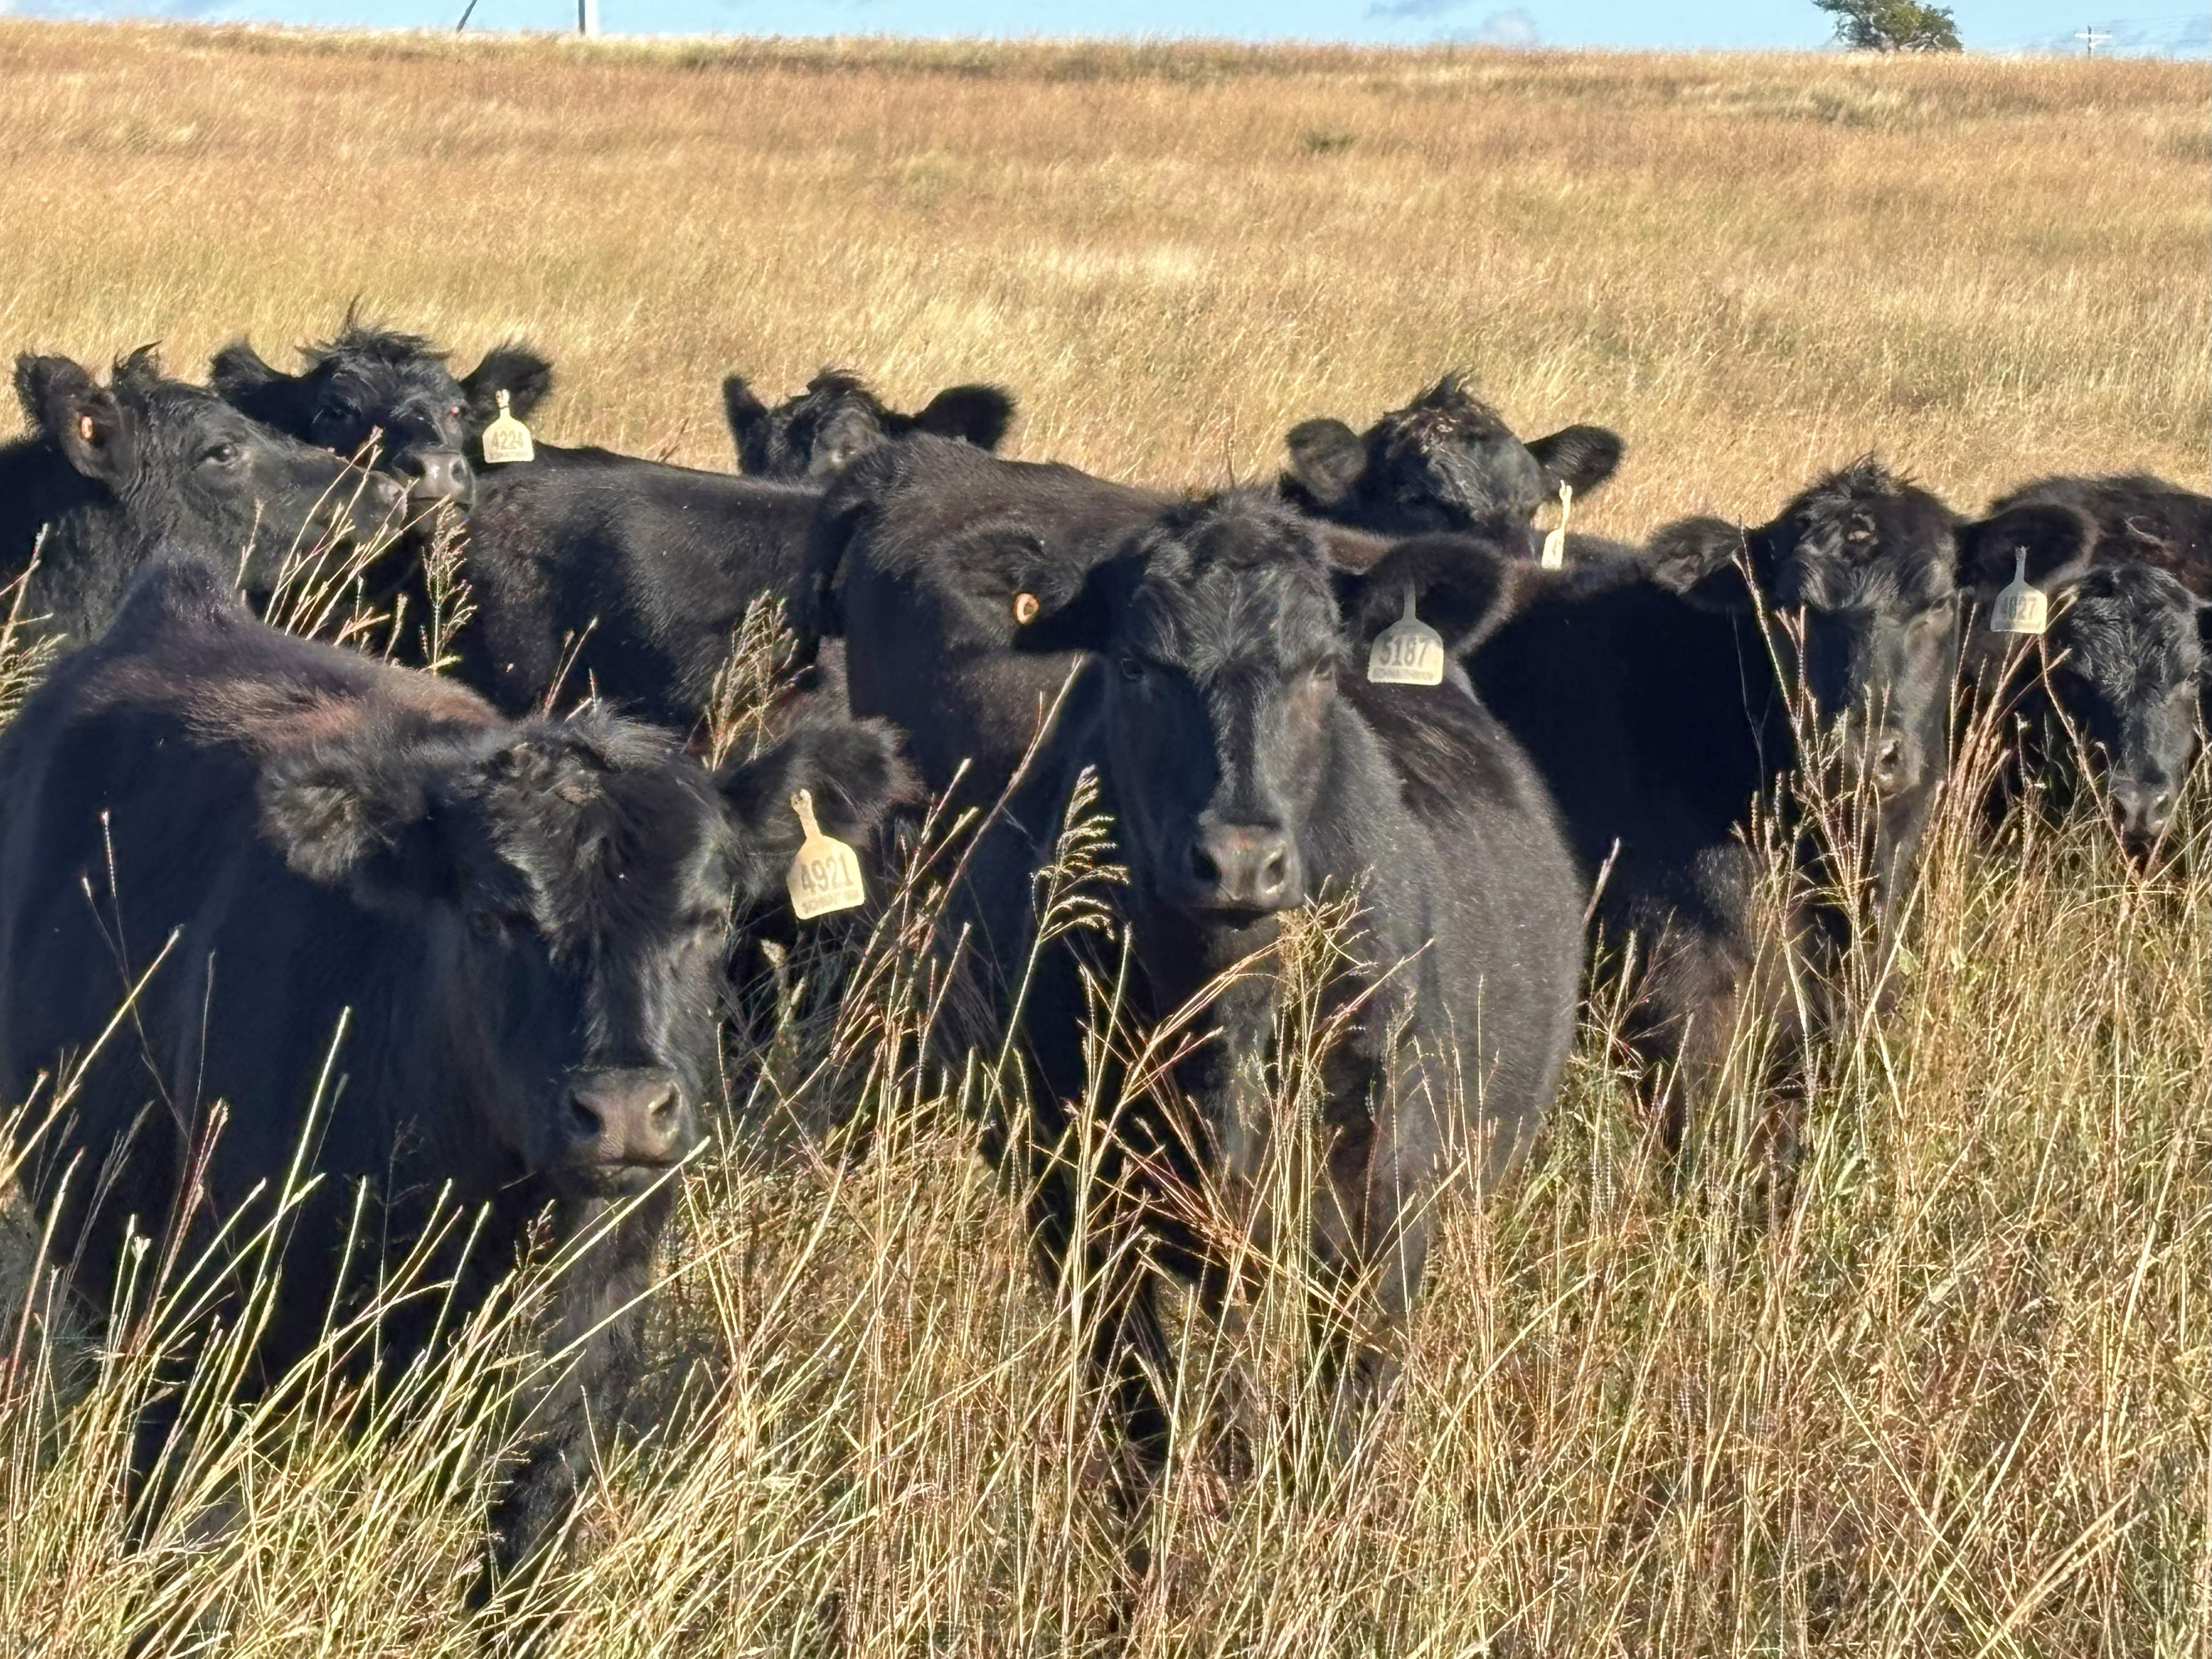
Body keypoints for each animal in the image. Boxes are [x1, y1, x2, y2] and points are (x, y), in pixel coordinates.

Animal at [947, 493, 1583, 1513]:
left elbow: (1334, 1429)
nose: (1240, 859)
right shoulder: (1073, 1210)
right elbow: (1147, 1420)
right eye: (1135, 663)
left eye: (1322, 666)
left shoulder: (1387, 1211)